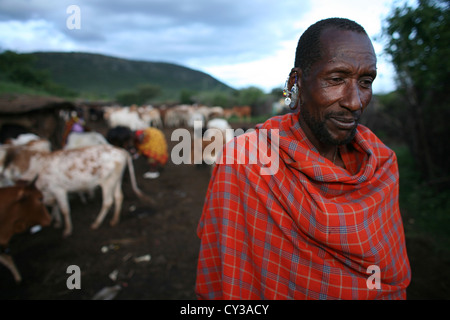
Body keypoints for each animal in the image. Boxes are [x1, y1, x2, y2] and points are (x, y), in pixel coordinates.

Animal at [2, 145, 152, 238]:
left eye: (7, 165)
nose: (3, 174)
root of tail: (121, 151)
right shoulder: (49, 193)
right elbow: (55, 205)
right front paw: (57, 222)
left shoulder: (58, 189)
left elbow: (64, 209)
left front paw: (67, 230)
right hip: (116, 179)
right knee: (119, 197)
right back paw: (114, 220)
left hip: (107, 181)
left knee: (108, 201)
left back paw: (96, 223)